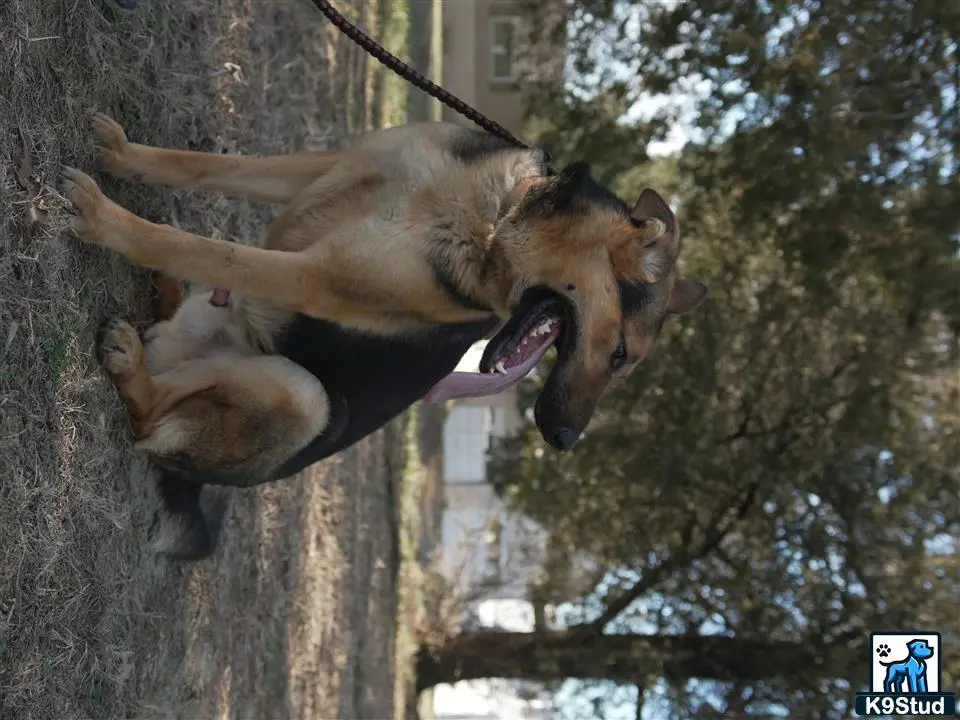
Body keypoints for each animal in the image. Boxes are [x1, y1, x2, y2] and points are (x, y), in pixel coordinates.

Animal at [60, 115, 704, 560]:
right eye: (620, 355)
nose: (565, 439)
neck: (495, 215)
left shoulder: (312, 275)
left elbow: (201, 247)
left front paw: (106, 221)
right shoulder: (326, 165)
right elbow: (200, 167)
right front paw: (124, 157)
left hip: (307, 398)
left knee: (148, 418)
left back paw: (132, 363)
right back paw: (164, 296)